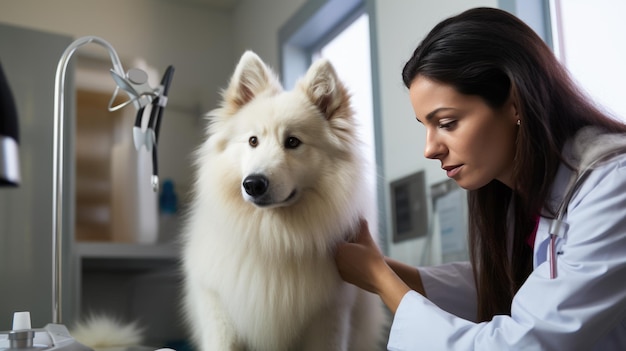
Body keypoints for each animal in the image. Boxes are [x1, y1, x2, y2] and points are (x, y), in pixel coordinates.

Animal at [180, 51, 386, 350]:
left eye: (292, 142)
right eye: (253, 141)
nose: (253, 184)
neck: (273, 240)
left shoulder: (328, 318)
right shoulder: (219, 312)